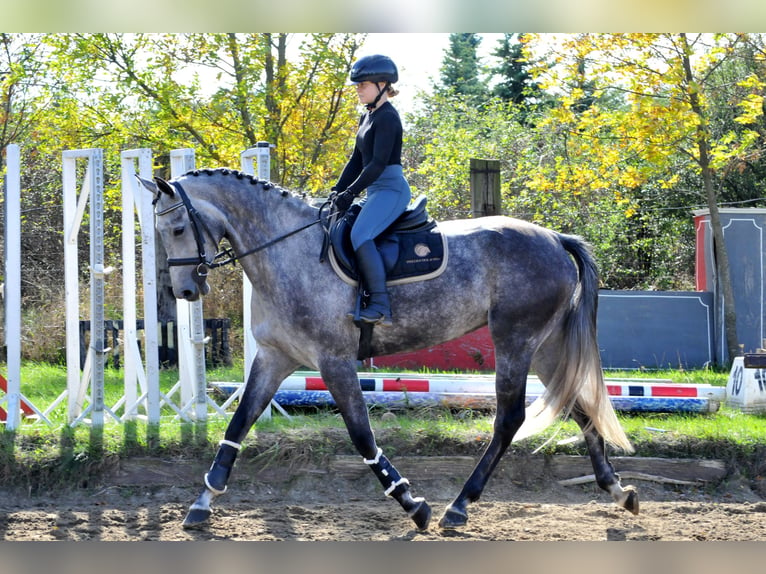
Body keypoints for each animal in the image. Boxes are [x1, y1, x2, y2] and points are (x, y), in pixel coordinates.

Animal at [136, 169, 636, 532]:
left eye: (177, 228)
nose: (185, 291)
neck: (285, 253)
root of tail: (554, 238)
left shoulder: (334, 362)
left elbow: (362, 435)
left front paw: (413, 504)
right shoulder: (275, 357)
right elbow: (238, 424)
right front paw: (202, 503)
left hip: (515, 340)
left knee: (509, 419)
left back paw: (459, 506)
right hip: (545, 347)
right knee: (579, 407)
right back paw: (617, 490)